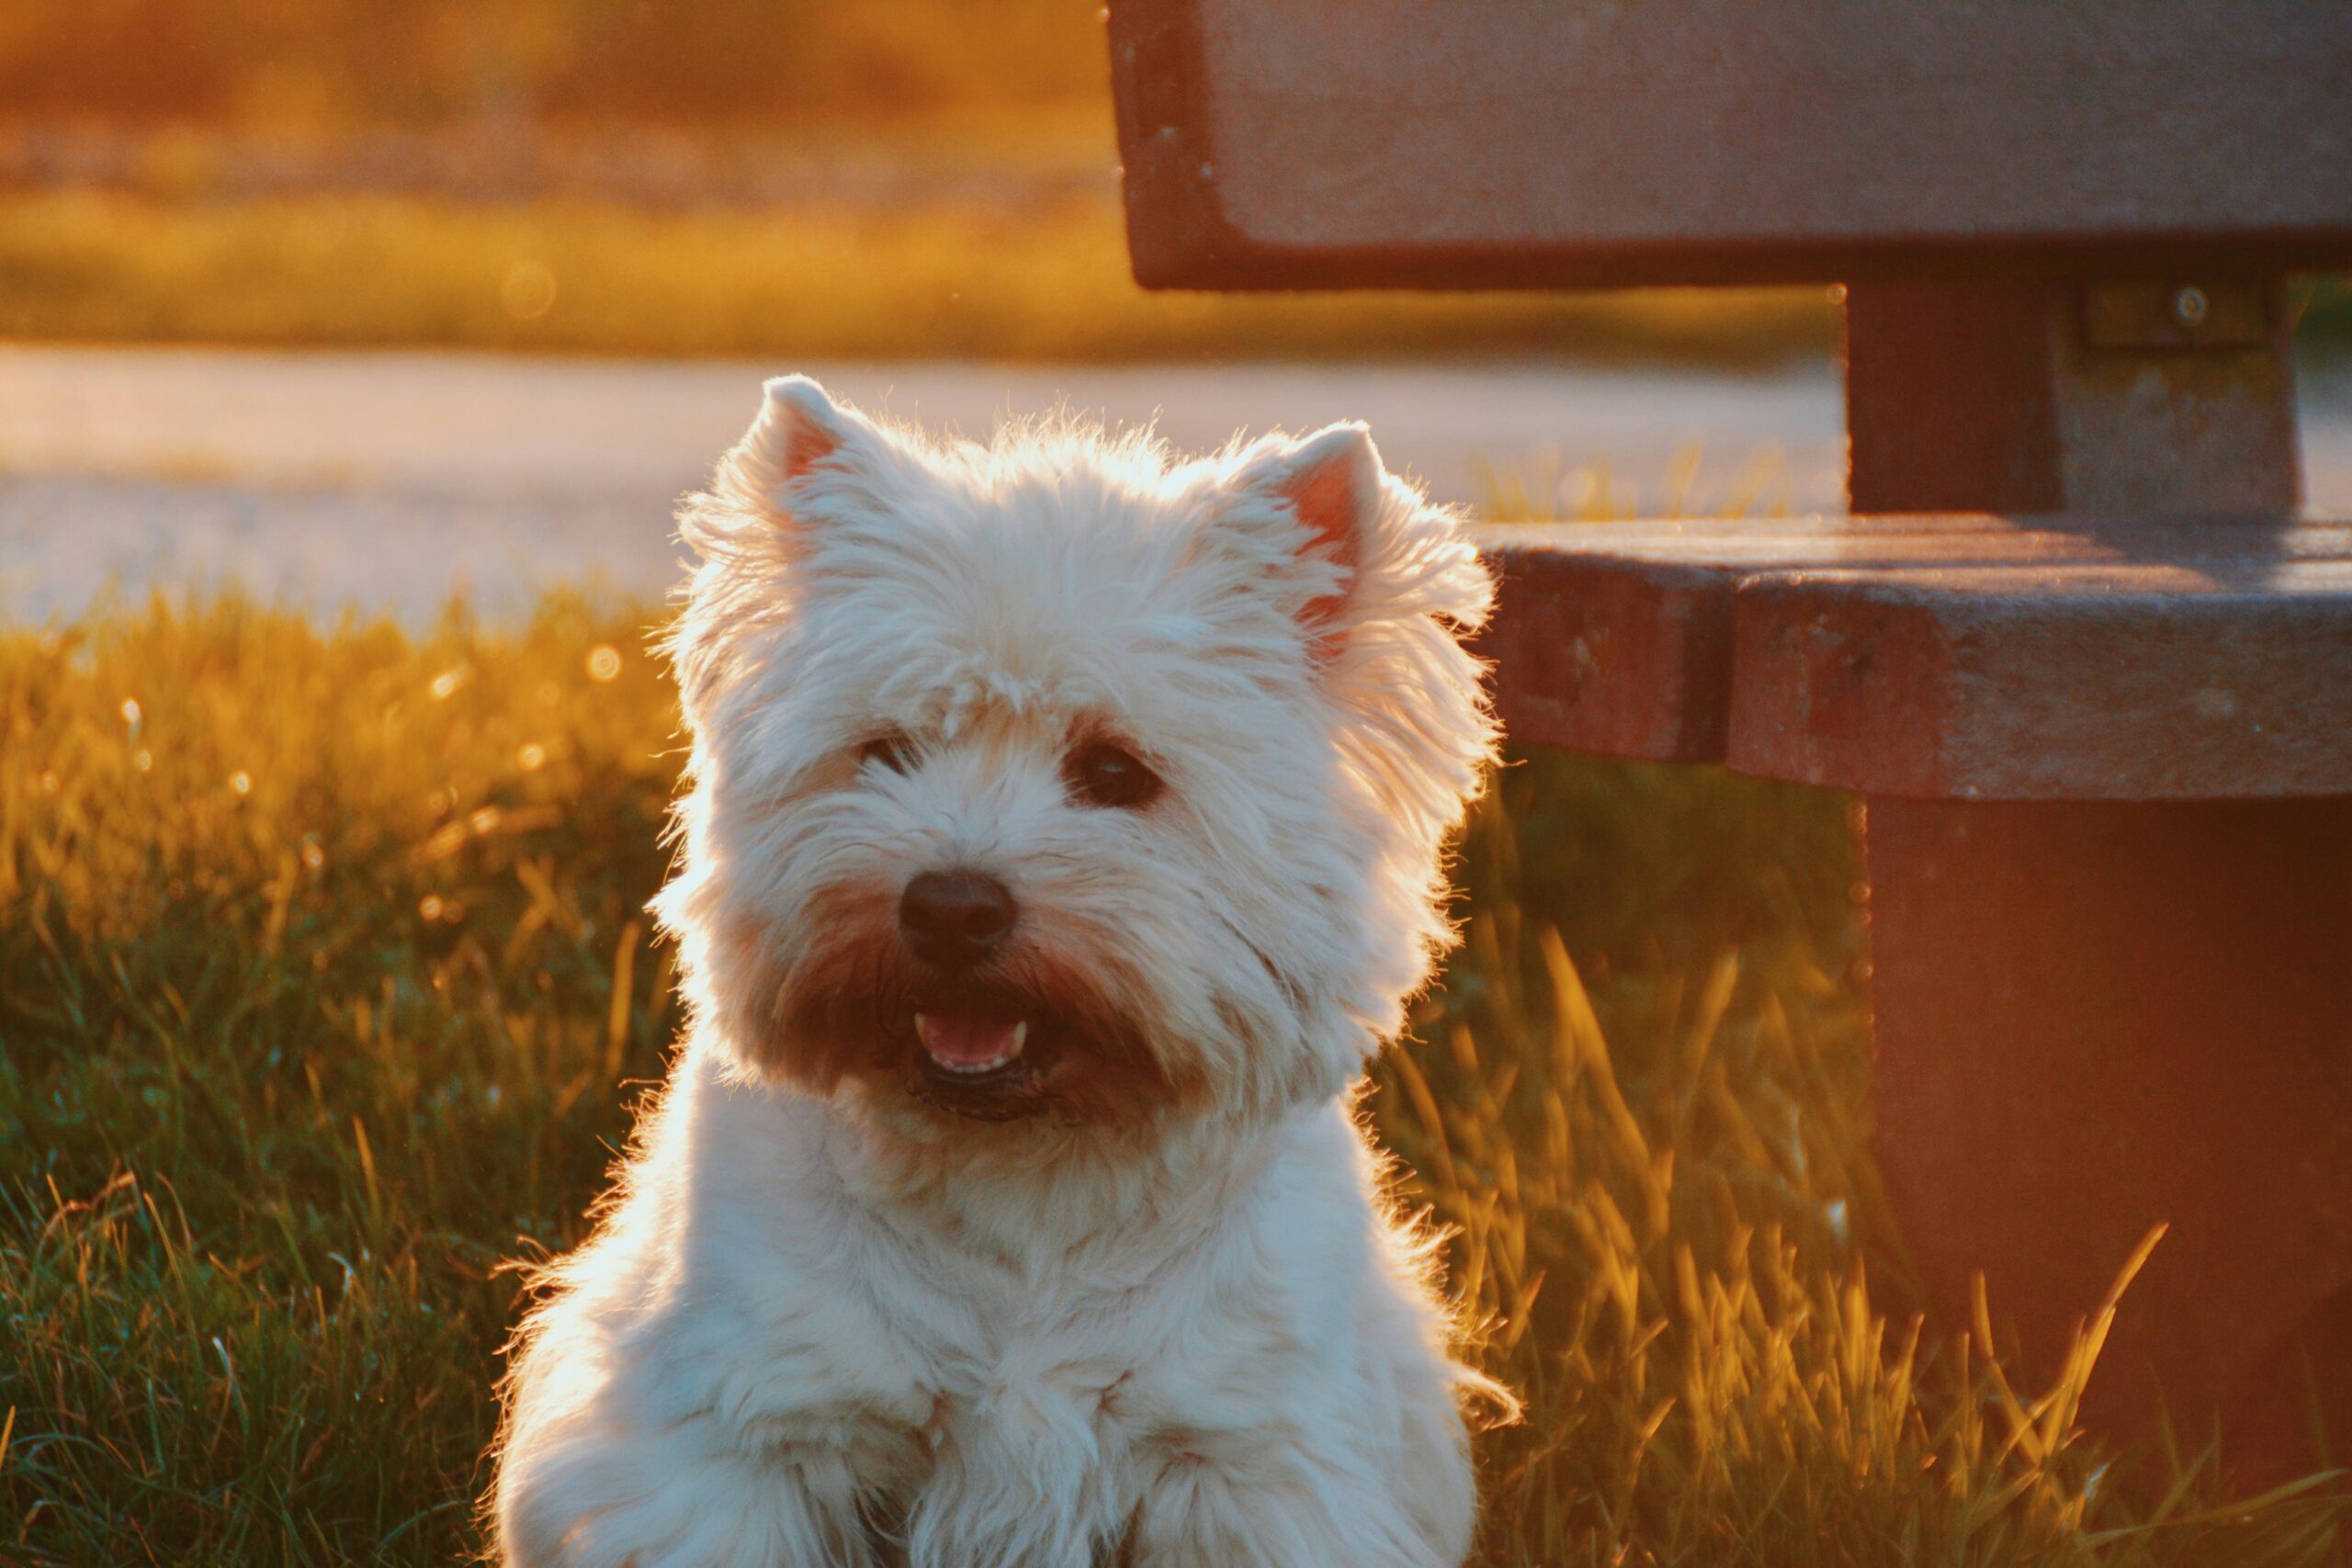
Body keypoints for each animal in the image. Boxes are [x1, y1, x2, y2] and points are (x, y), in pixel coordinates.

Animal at [492, 380, 1505, 1568]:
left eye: (1115, 771)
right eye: (885, 750)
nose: (949, 907)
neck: (1024, 1179)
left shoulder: (1251, 1456)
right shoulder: (740, 1435)